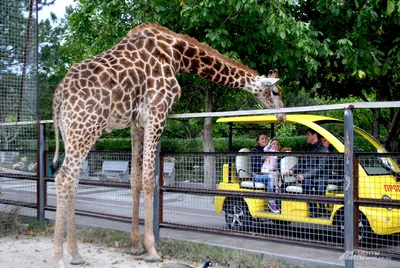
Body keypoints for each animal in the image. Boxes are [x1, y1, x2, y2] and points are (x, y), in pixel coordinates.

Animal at [51, 23, 286, 266]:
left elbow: (135, 179)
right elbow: (149, 179)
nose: (282, 116)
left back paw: (76, 254)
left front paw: (135, 246)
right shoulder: (157, 111)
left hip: (72, 133)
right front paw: (151, 249)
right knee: (63, 177)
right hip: (86, 128)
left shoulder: (136, 123)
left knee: (73, 180)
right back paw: (59, 257)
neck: (177, 54)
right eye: (276, 92)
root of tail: (57, 97)